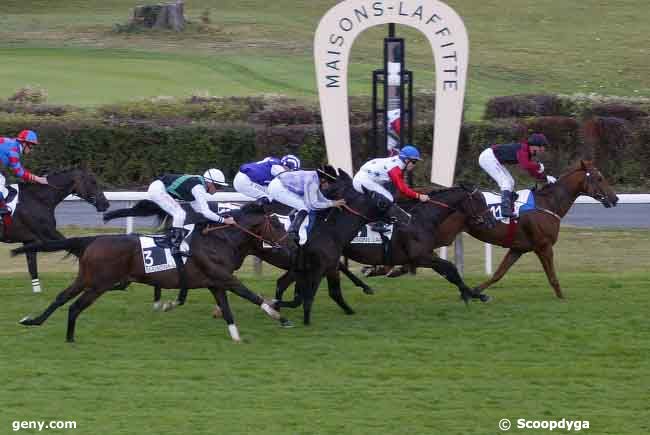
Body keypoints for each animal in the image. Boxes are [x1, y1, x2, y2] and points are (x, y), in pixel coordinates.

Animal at [12, 204, 286, 344]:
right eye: (278, 224)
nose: (288, 244)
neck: (219, 240)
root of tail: (93, 240)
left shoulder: (215, 283)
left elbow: (227, 311)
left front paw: (236, 337)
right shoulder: (225, 278)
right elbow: (250, 295)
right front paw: (279, 317)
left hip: (86, 279)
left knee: (61, 298)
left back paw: (34, 321)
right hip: (99, 284)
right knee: (75, 306)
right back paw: (69, 338)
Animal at [432, 160, 616, 300]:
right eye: (599, 178)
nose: (615, 198)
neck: (548, 204)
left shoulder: (518, 248)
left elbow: (498, 274)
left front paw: (475, 291)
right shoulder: (544, 246)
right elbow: (552, 277)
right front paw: (562, 298)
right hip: (443, 235)